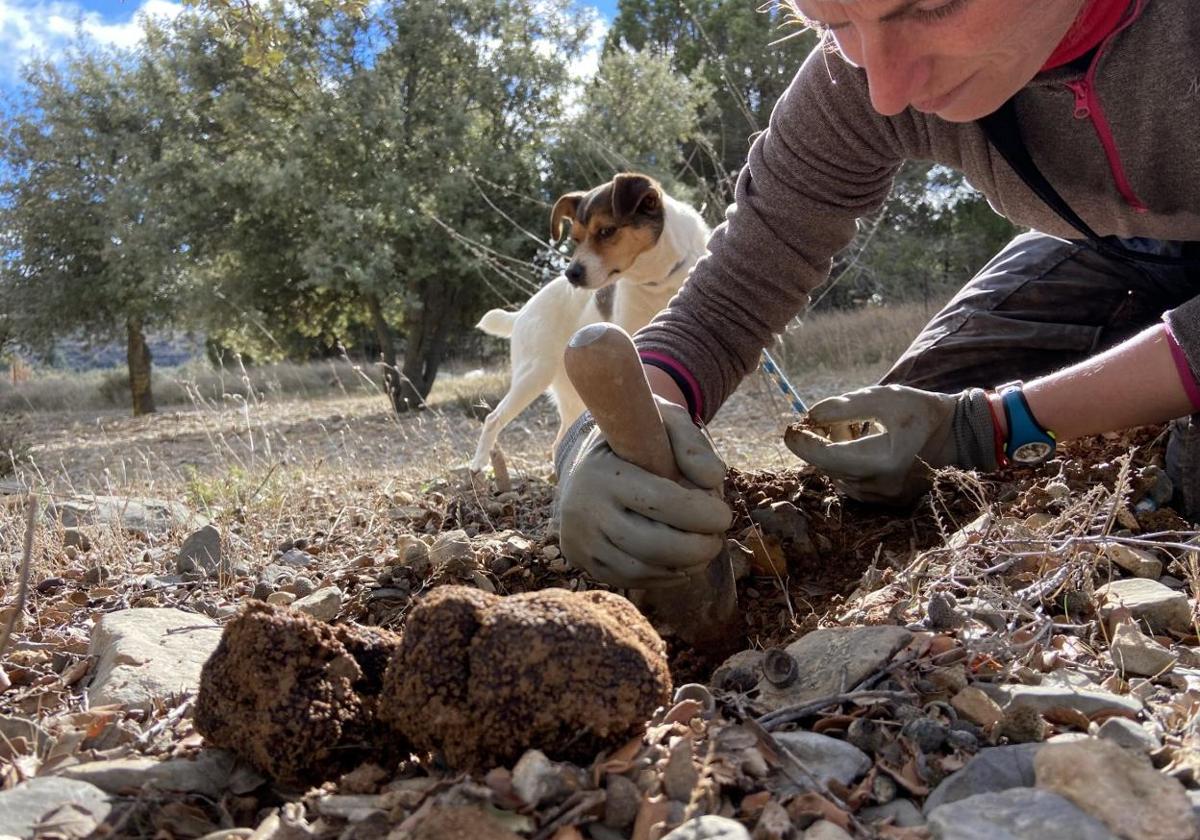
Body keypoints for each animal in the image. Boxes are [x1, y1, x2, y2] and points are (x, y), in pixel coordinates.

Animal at [470, 174, 710, 472]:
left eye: (606, 231)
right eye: (575, 238)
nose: (571, 274)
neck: (659, 280)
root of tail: (523, 311)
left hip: (571, 392)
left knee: (558, 442)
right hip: (533, 374)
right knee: (493, 418)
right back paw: (479, 464)